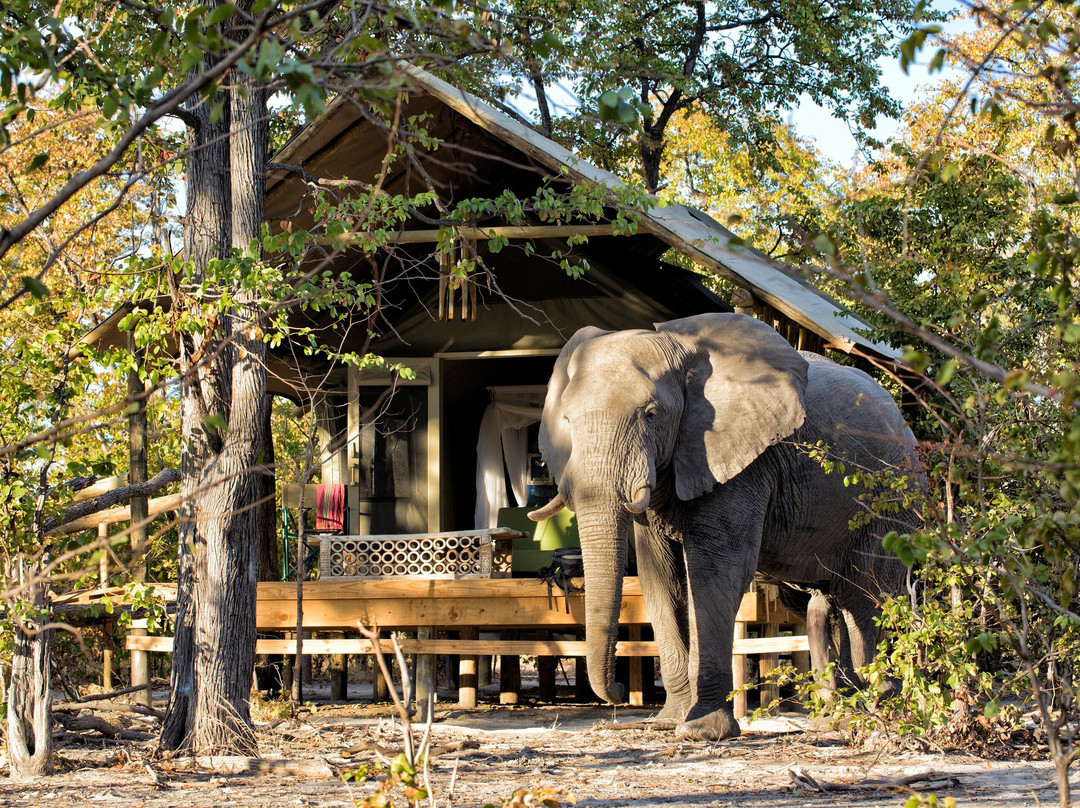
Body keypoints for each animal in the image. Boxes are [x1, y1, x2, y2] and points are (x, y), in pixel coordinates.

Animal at [527, 312, 919, 740]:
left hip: (892, 503)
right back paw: (842, 715)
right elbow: (659, 574)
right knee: (825, 601)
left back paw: (883, 706)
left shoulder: (743, 463)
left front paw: (702, 730)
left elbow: (714, 571)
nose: (615, 691)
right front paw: (670, 722)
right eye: (567, 420)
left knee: (865, 596)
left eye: (651, 414)